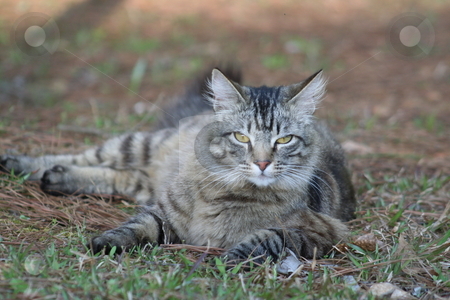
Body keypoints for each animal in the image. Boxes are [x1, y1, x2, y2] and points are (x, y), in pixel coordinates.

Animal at [1, 67, 356, 262]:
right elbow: (134, 227)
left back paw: (57, 179)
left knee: (117, 177)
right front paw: (107, 243)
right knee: (84, 158)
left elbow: (268, 238)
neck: (231, 195)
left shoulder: (323, 232)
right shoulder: (163, 213)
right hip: (138, 146)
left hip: (142, 179)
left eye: (284, 140)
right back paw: (22, 164)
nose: (262, 163)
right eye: (241, 137)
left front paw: (232, 257)